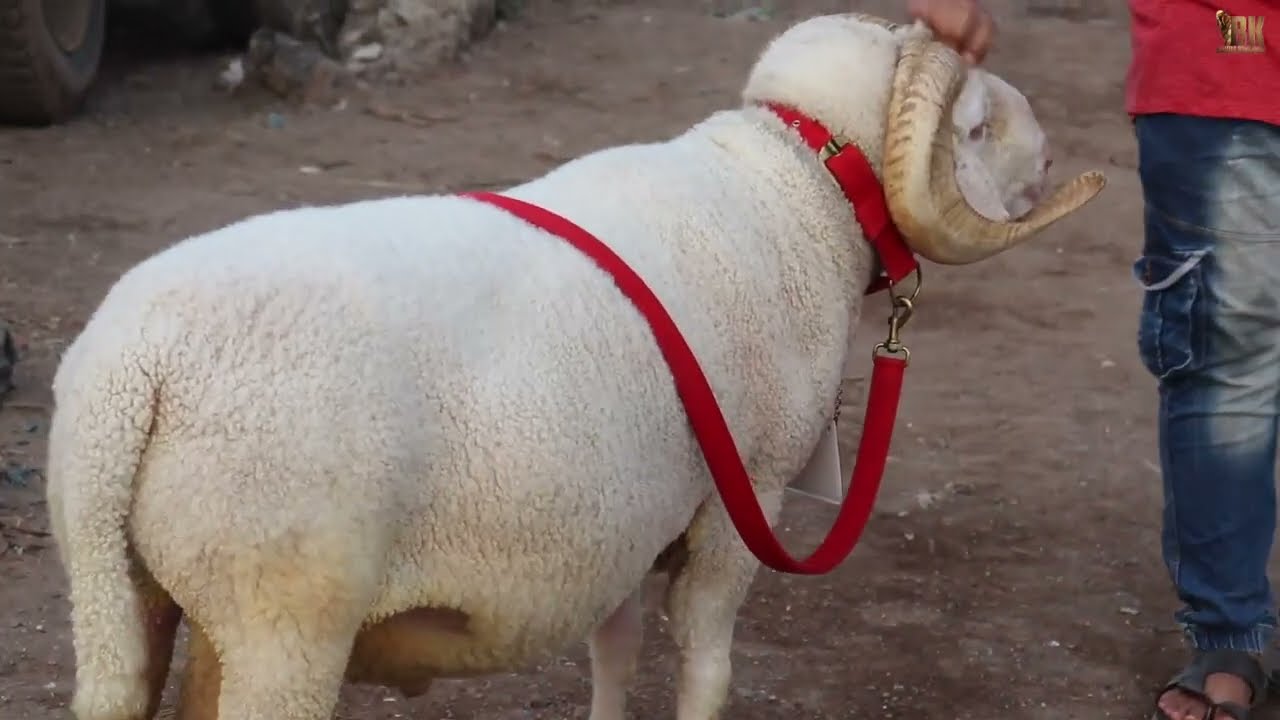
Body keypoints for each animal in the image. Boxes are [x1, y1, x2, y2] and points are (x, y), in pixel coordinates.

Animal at [45, 12, 1104, 720]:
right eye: (976, 124)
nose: (1055, 156)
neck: (792, 192)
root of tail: (135, 368)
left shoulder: (624, 521)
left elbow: (616, 652)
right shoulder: (741, 500)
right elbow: (707, 663)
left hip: (133, 596)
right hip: (284, 619)